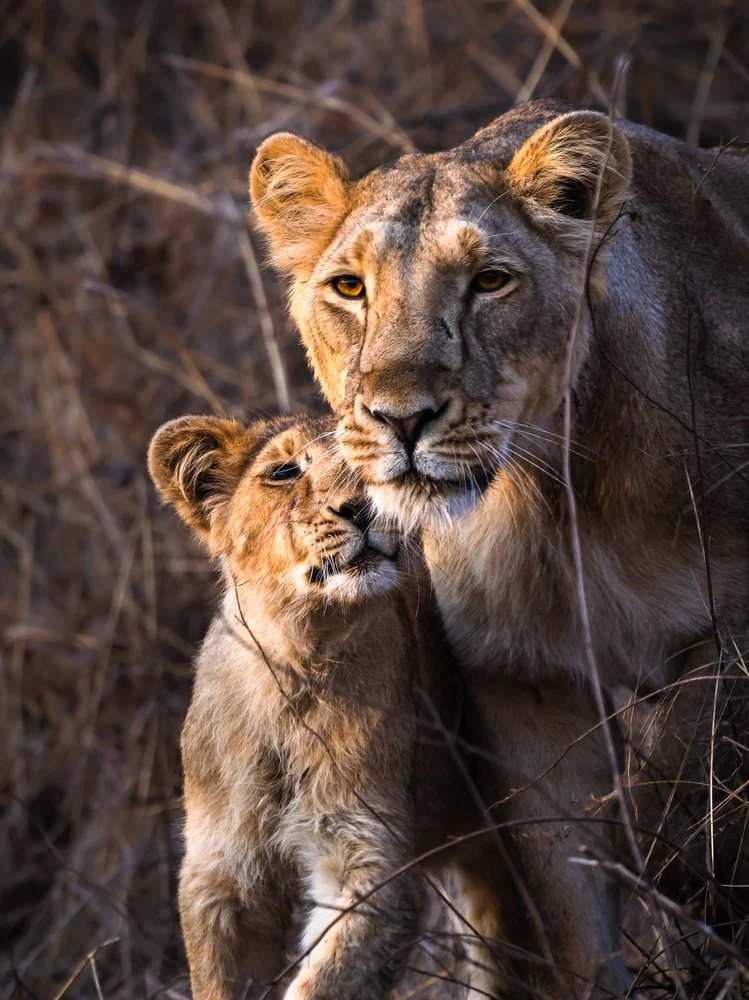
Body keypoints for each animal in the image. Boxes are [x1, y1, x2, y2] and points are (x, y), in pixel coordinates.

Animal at [148, 413, 510, 1000]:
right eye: (284, 472)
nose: (361, 508)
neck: (297, 660)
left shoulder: (368, 855)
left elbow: (328, 979)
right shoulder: (223, 873)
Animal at [249, 100, 749, 996]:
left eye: (489, 281)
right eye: (350, 287)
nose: (401, 419)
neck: (555, 496)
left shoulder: (730, 630)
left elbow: (679, 798)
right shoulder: (522, 681)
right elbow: (570, 907)